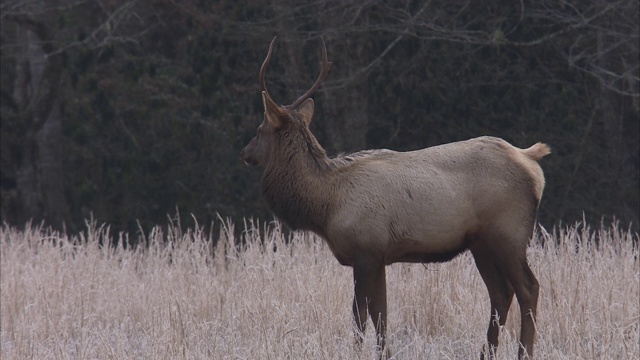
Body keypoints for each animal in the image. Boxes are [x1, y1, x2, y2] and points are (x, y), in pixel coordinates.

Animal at [240, 37, 552, 360]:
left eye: (260, 129)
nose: (245, 153)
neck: (325, 205)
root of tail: (531, 159)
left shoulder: (365, 250)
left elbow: (360, 316)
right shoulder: (379, 256)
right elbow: (381, 314)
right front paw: (384, 353)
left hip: (508, 234)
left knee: (529, 288)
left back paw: (524, 352)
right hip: (481, 244)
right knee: (501, 293)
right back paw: (486, 353)